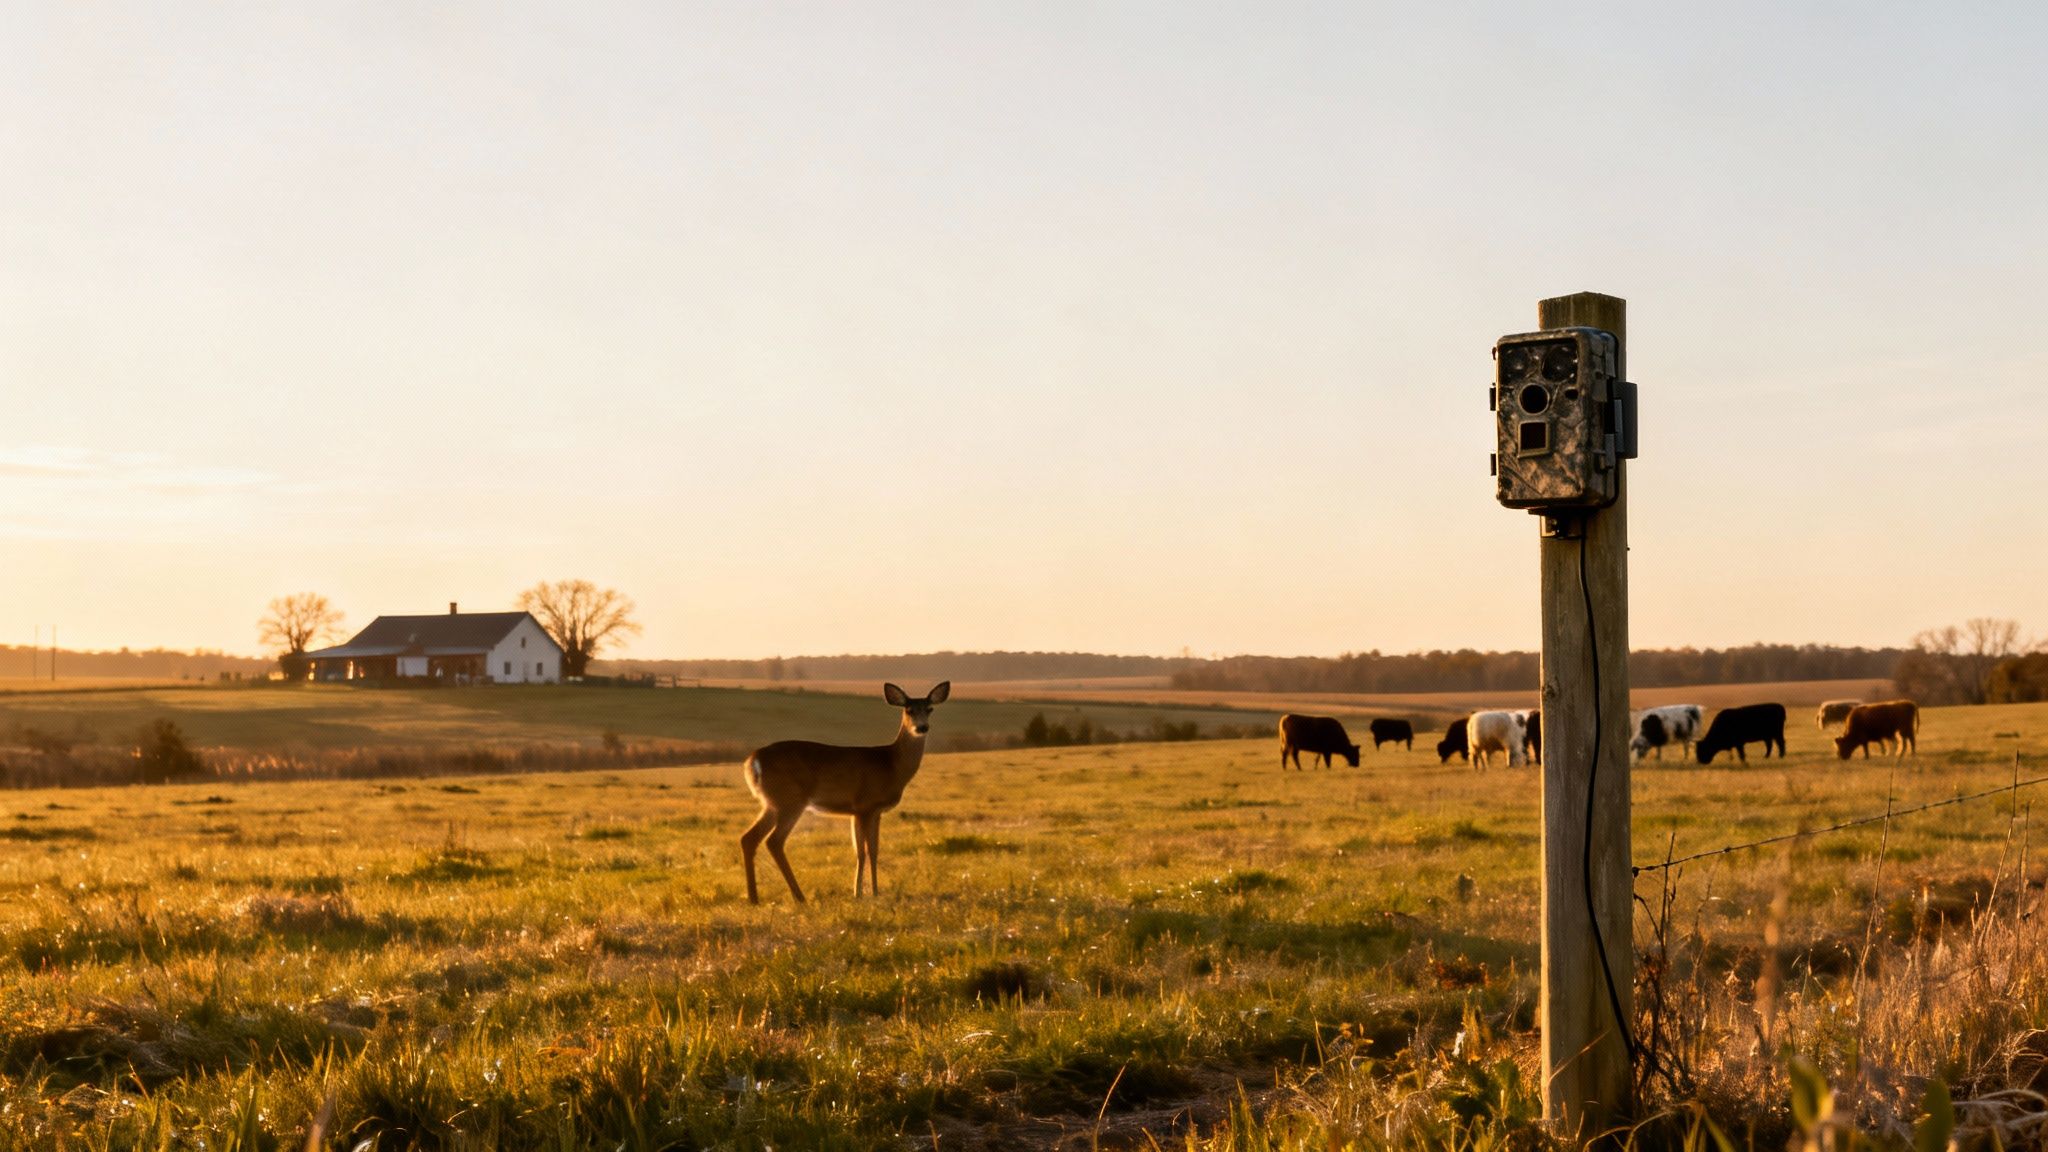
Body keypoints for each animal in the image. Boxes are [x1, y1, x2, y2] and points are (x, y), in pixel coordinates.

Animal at [739, 681, 950, 905]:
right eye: (909, 710)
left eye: (930, 709)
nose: (922, 727)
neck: (891, 765)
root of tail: (753, 760)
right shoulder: (866, 805)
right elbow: (865, 851)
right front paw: (867, 893)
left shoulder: (867, 812)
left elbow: (868, 851)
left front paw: (864, 892)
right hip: (790, 800)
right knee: (774, 841)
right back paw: (799, 896)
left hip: (772, 803)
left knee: (749, 838)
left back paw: (754, 898)